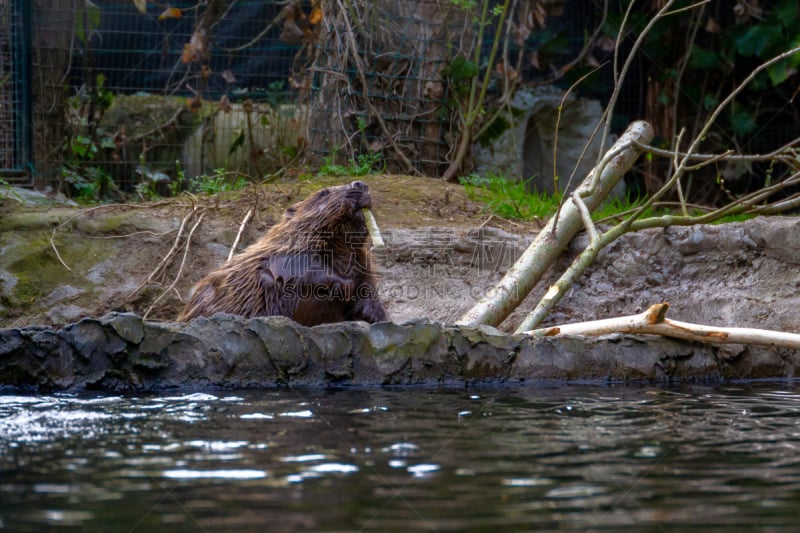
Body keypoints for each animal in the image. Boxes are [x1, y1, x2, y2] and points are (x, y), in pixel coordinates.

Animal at [177, 181, 388, 324]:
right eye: (323, 192)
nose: (360, 183)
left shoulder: (363, 263)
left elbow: (367, 295)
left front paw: (379, 318)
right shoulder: (285, 251)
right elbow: (299, 270)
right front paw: (345, 285)